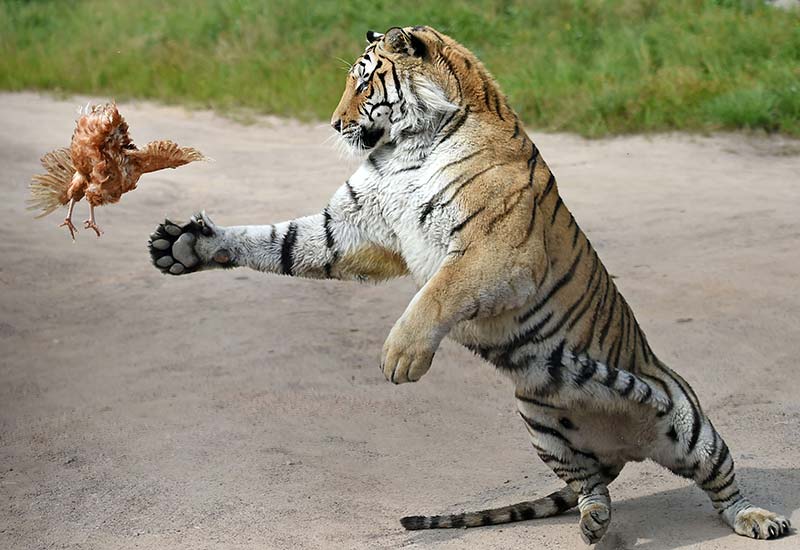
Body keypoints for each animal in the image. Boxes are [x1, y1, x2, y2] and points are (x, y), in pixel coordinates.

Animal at [147, 24, 792, 544]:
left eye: (364, 84)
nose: (334, 123)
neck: (405, 147)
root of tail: (625, 450)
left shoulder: (496, 253)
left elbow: (438, 292)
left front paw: (400, 357)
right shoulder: (347, 230)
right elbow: (275, 241)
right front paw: (185, 246)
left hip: (689, 426)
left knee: (721, 486)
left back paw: (760, 520)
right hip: (541, 420)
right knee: (590, 485)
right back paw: (594, 523)